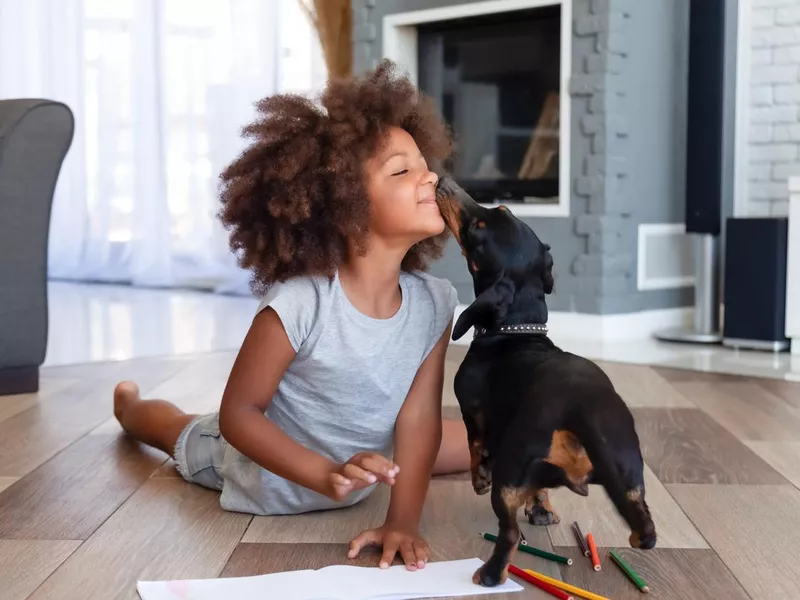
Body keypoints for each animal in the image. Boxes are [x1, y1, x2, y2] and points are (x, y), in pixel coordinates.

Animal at [438, 177, 656, 584]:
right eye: (501, 210)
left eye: (478, 229)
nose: (444, 182)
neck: (518, 330)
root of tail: (579, 411)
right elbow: (539, 492)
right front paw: (542, 511)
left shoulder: (471, 412)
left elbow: (475, 446)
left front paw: (479, 477)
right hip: (631, 475)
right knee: (645, 526)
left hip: (509, 476)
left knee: (508, 533)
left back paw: (490, 574)